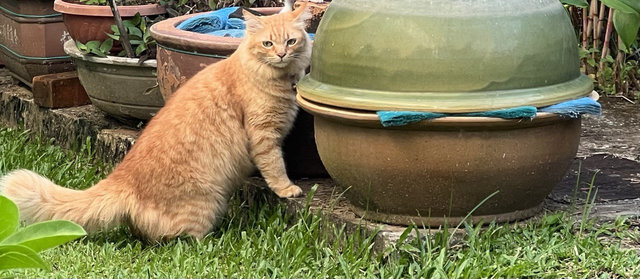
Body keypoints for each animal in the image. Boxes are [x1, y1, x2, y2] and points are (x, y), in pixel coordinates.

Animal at [0, 3, 312, 242]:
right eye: (268, 44)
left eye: (291, 41)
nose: (281, 54)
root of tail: (121, 179)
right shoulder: (264, 135)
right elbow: (275, 166)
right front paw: (287, 189)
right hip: (206, 203)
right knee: (175, 240)